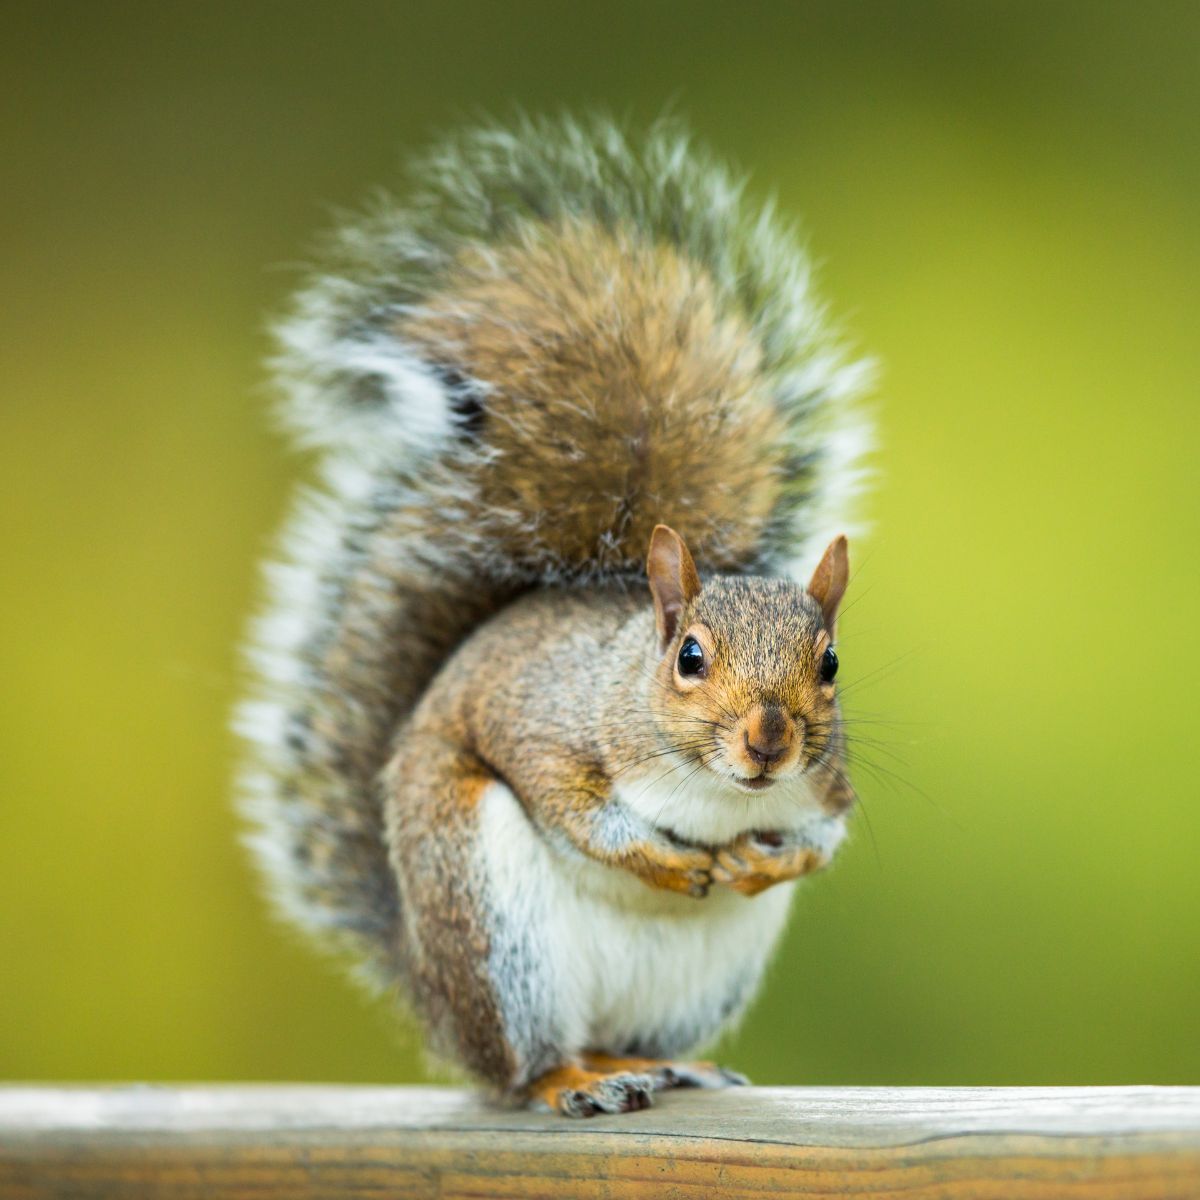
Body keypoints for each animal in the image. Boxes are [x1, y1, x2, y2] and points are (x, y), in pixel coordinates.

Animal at [234, 112, 873, 1113]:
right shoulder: (545, 724)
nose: (769, 743)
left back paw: (658, 1065)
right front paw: (668, 860)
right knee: (522, 1064)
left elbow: (824, 837)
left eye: (831, 665)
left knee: (622, 1038)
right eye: (689, 658)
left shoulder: (828, 784)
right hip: (492, 923)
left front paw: (765, 860)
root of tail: (429, 991)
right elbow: (575, 809)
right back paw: (569, 1081)